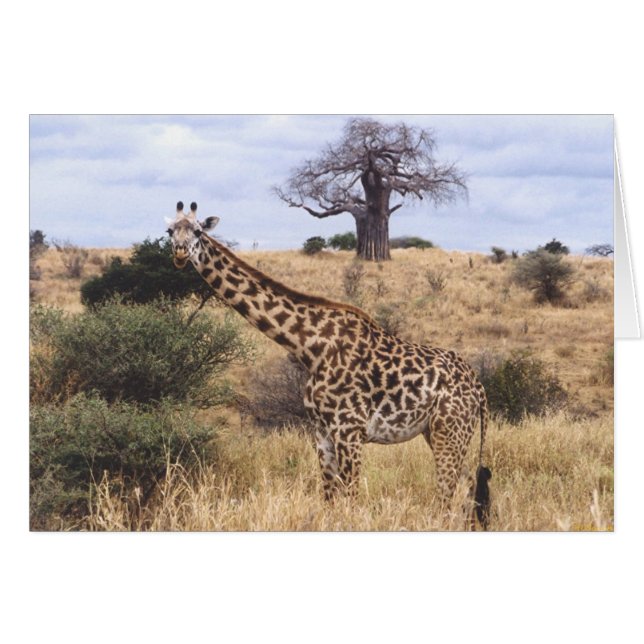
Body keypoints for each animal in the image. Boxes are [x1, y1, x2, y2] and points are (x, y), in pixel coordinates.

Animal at [166, 201, 492, 528]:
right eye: (170, 231)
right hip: (442, 432)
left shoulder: (350, 430)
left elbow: (351, 501)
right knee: (467, 486)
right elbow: (330, 500)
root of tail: (479, 387)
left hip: (449, 430)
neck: (309, 347)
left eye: (198, 231)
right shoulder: (322, 431)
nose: (180, 253)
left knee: (448, 494)